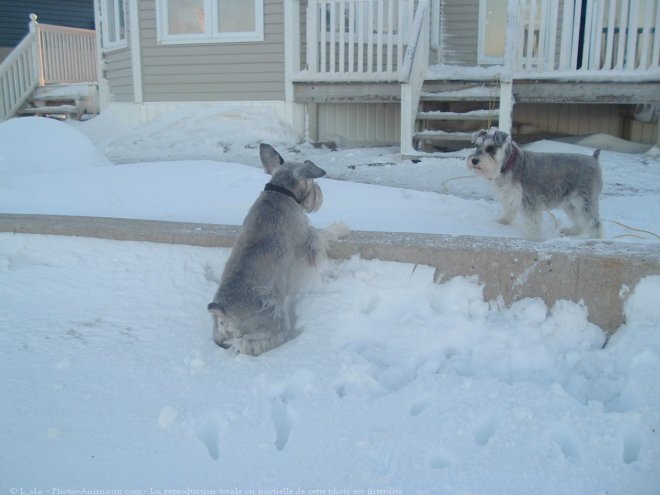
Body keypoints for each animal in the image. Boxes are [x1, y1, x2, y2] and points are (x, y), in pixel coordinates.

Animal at [209, 143, 348, 356]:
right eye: (311, 181)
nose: (319, 195)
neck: (280, 191)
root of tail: (222, 310)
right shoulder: (309, 239)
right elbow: (325, 235)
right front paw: (341, 228)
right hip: (274, 314)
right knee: (249, 342)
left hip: (220, 334)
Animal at [464, 128, 604, 240]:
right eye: (476, 146)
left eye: (491, 148)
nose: (474, 160)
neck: (509, 164)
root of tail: (593, 158)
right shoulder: (510, 194)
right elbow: (509, 209)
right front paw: (503, 221)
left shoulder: (529, 201)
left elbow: (533, 222)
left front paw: (533, 238)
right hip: (570, 204)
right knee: (581, 221)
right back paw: (571, 231)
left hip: (584, 200)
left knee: (594, 223)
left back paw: (594, 240)